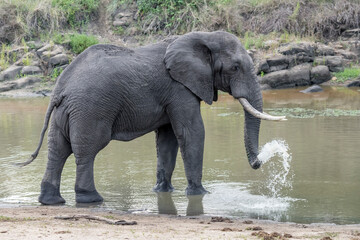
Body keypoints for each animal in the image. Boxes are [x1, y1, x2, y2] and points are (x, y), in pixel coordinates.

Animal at [19, 31, 284, 205]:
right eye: (235, 67)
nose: (263, 159)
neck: (201, 37)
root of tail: (61, 87)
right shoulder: (179, 88)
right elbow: (192, 132)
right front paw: (200, 194)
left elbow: (168, 139)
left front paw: (163, 190)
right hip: (90, 110)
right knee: (86, 150)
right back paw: (91, 199)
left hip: (65, 112)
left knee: (58, 149)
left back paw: (51, 201)